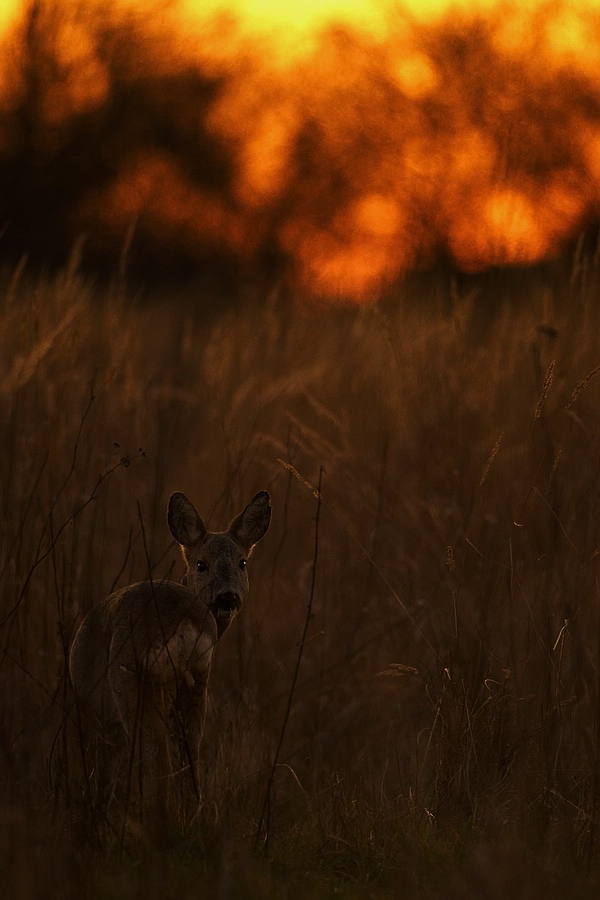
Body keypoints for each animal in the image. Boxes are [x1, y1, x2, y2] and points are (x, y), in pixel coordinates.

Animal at [68, 488, 272, 828]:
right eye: (201, 564)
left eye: (242, 562)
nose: (227, 597)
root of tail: (184, 624)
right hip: (196, 684)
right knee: (188, 750)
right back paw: (190, 816)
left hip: (132, 685)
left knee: (151, 752)